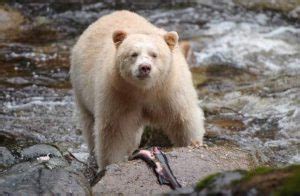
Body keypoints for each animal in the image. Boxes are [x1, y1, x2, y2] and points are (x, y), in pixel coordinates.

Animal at [71, 11, 204, 170]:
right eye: (133, 54)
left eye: (154, 54)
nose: (144, 67)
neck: (145, 89)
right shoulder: (117, 93)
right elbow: (114, 131)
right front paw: (109, 164)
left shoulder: (170, 90)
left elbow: (183, 119)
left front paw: (192, 143)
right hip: (81, 88)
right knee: (89, 124)